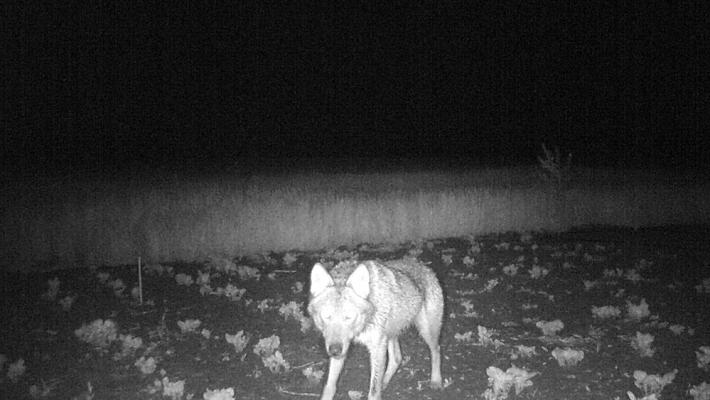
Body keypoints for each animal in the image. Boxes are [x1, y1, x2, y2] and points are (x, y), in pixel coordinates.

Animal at [308, 258, 444, 400]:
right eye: (326, 316)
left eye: (348, 317)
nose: (334, 351)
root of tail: (425, 267)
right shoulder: (342, 347)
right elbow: (330, 385)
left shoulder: (376, 348)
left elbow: (373, 391)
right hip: (390, 335)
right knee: (397, 358)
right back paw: (384, 381)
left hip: (426, 332)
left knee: (436, 351)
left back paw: (436, 380)